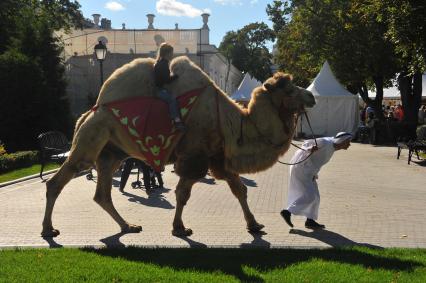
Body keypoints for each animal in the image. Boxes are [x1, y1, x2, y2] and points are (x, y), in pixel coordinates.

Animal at [41, 56, 314, 239]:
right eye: (290, 89)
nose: (311, 96)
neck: (231, 123)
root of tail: (89, 111)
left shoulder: (218, 158)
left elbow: (240, 190)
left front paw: (254, 225)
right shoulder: (195, 155)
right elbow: (183, 194)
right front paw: (180, 228)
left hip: (111, 153)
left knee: (103, 194)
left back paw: (128, 226)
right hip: (92, 138)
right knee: (59, 180)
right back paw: (48, 230)